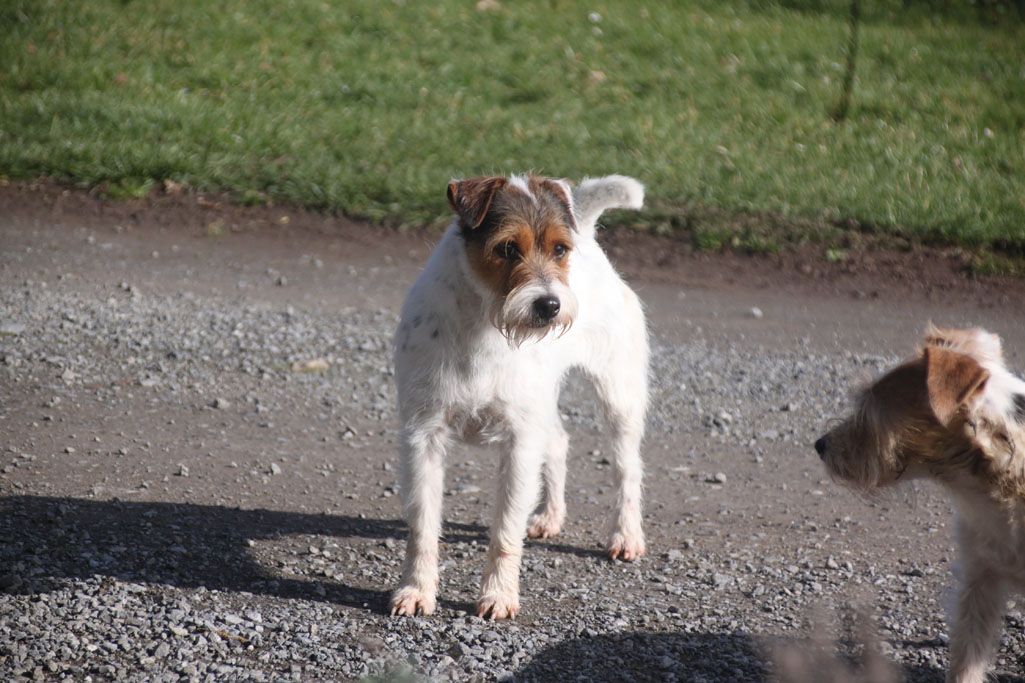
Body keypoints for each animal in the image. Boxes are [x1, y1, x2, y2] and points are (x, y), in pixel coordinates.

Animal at [389, 174, 649, 620]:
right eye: (508, 248)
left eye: (559, 249)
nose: (550, 305)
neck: (485, 324)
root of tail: (587, 230)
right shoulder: (423, 435)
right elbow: (422, 527)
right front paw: (416, 591)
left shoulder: (519, 442)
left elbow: (505, 531)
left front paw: (498, 595)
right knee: (559, 442)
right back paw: (550, 516)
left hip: (619, 397)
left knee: (626, 470)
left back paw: (626, 535)